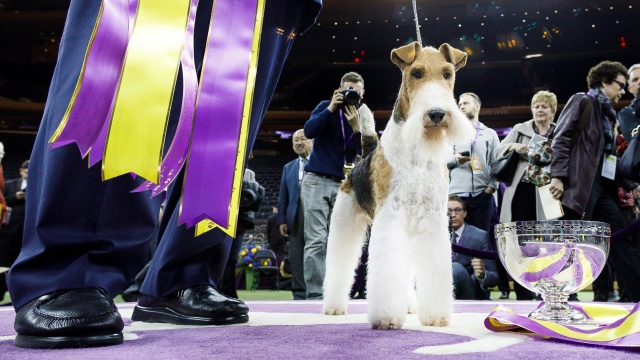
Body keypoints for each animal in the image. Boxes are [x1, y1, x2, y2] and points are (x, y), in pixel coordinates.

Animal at [322, 41, 472, 330]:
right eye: (416, 73)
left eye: (447, 74)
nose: (437, 114)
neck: (418, 149)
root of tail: (366, 154)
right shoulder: (391, 215)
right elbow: (387, 271)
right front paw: (387, 319)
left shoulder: (432, 218)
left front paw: (435, 316)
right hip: (345, 222)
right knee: (339, 265)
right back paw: (333, 307)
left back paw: (410, 305)